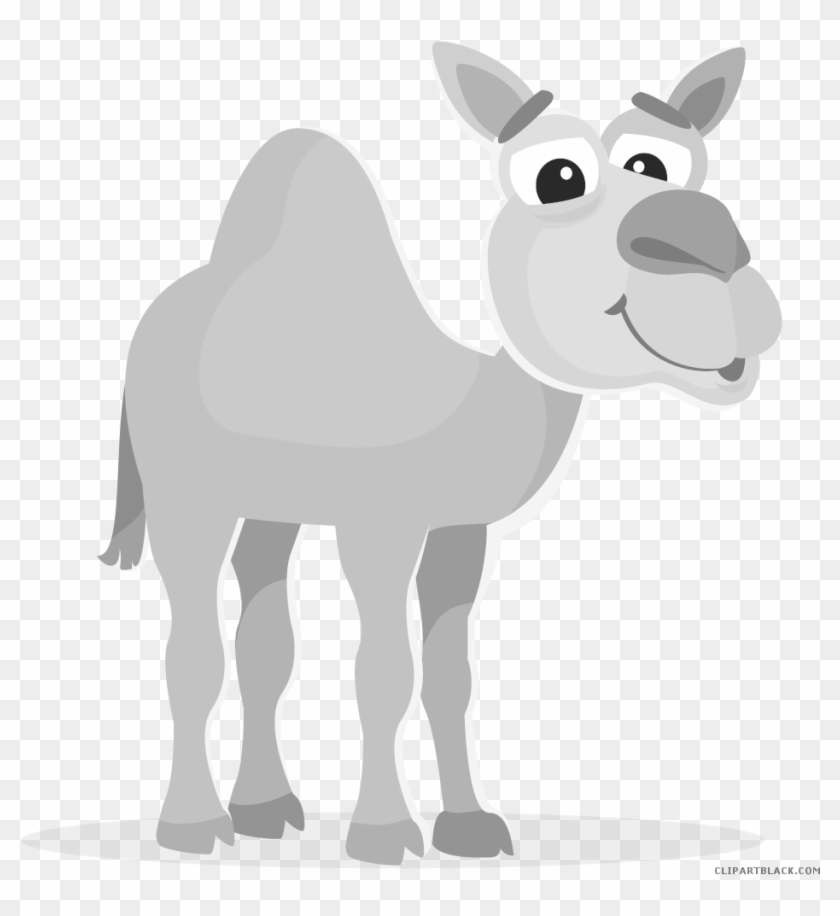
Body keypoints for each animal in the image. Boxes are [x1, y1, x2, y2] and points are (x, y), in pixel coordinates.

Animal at [99, 42, 782, 864]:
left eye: (664, 165)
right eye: (557, 176)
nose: (708, 245)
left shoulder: (460, 530)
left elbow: (448, 676)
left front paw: (469, 825)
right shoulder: (380, 525)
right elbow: (383, 672)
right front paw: (384, 834)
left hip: (274, 498)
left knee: (261, 624)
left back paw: (263, 807)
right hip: (188, 495)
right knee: (192, 645)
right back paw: (193, 826)